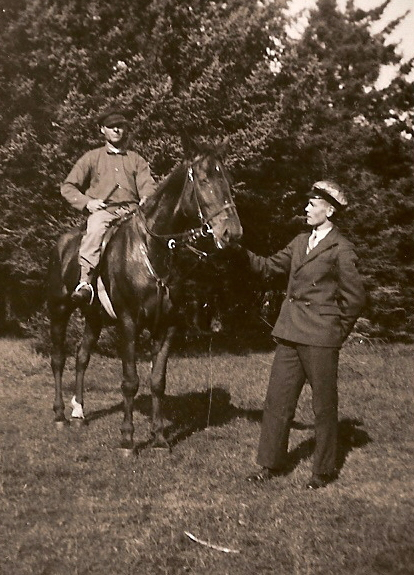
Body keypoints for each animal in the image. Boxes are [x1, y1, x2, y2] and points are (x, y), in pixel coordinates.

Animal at [46, 142, 243, 452]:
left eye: (227, 180)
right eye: (203, 180)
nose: (231, 232)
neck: (153, 250)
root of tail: (62, 244)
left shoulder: (168, 325)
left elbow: (157, 381)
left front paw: (160, 437)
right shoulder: (129, 323)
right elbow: (130, 380)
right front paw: (128, 439)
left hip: (94, 317)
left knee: (81, 357)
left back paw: (78, 413)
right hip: (59, 309)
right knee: (58, 359)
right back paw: (60, 415)